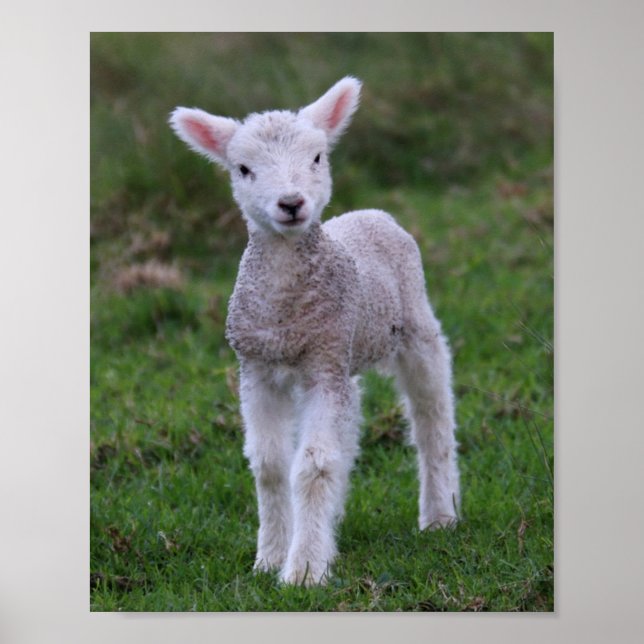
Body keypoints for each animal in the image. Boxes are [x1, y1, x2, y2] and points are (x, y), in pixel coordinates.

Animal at [169, 77, 460, 586]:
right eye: (243, 169)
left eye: (318, 157)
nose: (291, 203)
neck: (286, 311)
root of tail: (372, 213)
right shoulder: (259, 369)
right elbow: (270, 465)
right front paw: (270, 558)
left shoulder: (323, 366)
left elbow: (313, 466)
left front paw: (304, 570)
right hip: (345, 354)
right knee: (351, 426)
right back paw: (332, 523)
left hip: (414, 326)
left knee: (432, 417)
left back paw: (439, 515)